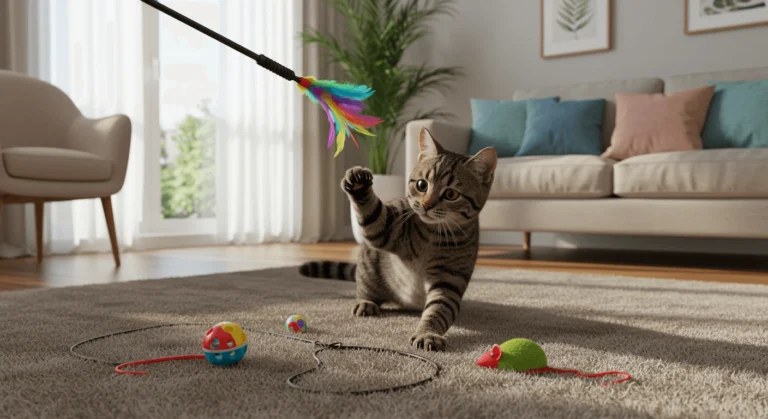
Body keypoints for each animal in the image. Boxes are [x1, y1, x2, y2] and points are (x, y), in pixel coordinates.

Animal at [300, 127, 498, 352]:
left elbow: (438, 311)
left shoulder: (449, 279)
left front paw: (427, 333)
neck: (433, 235)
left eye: (450, 194)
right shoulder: (386, 229)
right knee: (364, 288)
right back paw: (366, 302)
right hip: (369, 265)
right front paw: (359, 186)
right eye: (421, 185)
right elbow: (373, 215)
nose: (427, 205)